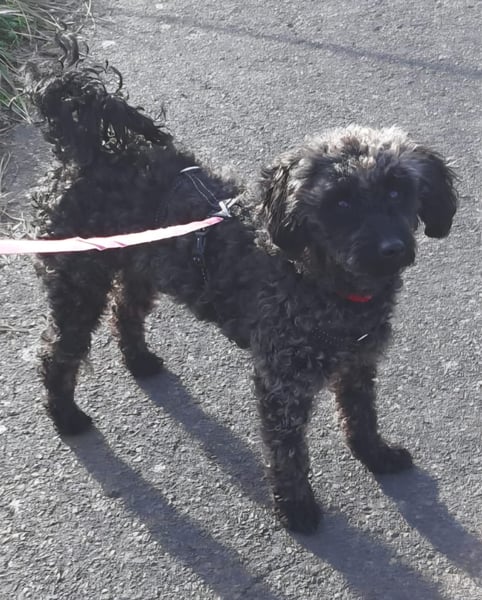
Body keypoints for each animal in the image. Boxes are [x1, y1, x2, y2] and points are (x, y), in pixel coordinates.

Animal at [27, 36, 457, 534]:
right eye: (340, 202)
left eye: (396, 189)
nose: (391, 248)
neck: (317, 276)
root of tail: (83, 151)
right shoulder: (282, 385)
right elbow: (288, 454)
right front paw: (297, 507)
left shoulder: (358, 362)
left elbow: (361, 415)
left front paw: (376, 455)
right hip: (78, 286)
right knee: (56, 353)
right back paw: (65, 416)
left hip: (144, 266)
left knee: (126, 310)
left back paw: (140, 361)